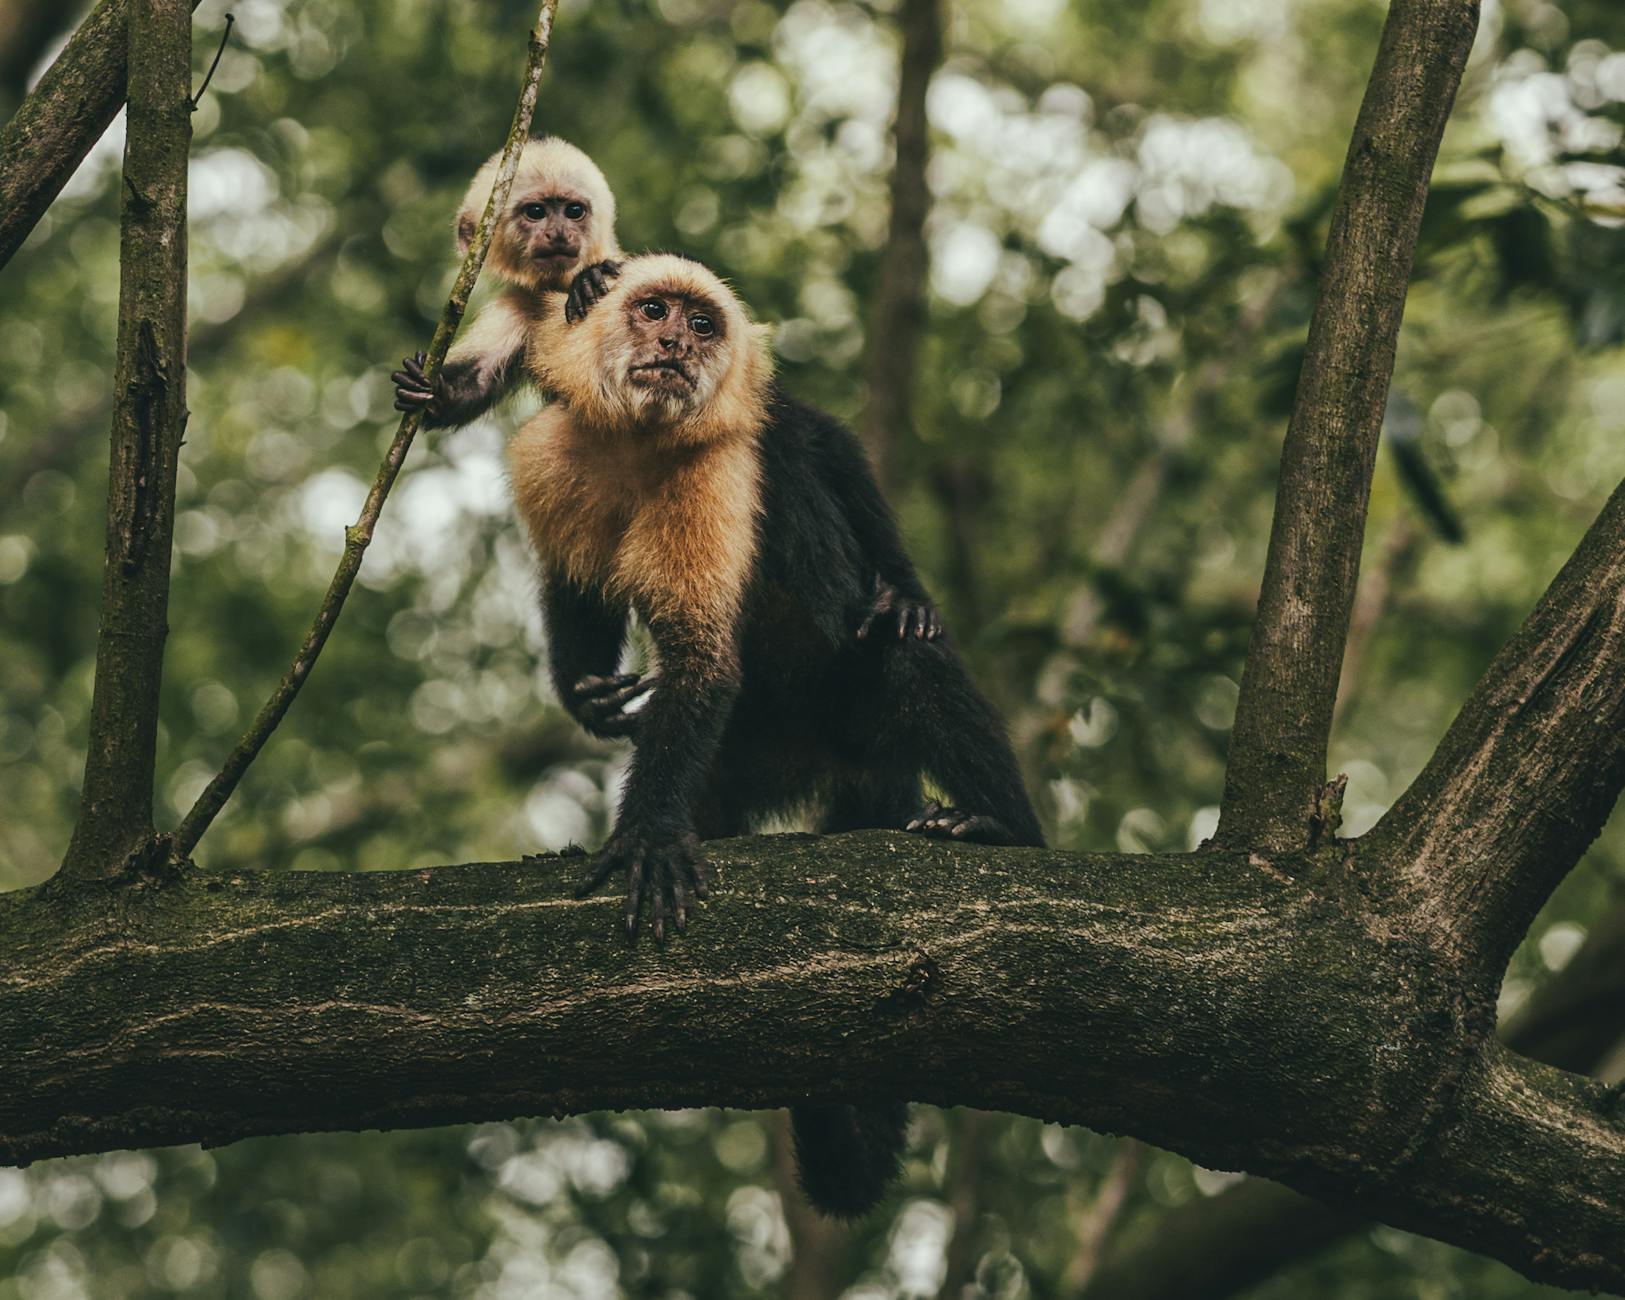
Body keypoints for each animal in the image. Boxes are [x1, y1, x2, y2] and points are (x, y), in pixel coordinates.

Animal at [391, 137, 622, 430]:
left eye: (574, 211)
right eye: (536, 212)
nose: (558, 233)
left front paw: (589, 279)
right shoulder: (520, 305)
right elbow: (477, 380)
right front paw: (431, 391)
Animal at [509, 253, 1045, 1218]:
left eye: (702, 325)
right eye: (652, 311)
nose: (677, 344)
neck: (639, 443)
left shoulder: (717, 471)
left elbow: (705, 659)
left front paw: (647, 838)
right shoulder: (549, 453)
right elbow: (574, 583)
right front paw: (588, 696)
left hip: (858, 729)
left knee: (900, 653)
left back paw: (1001, 825)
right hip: (740, 764)